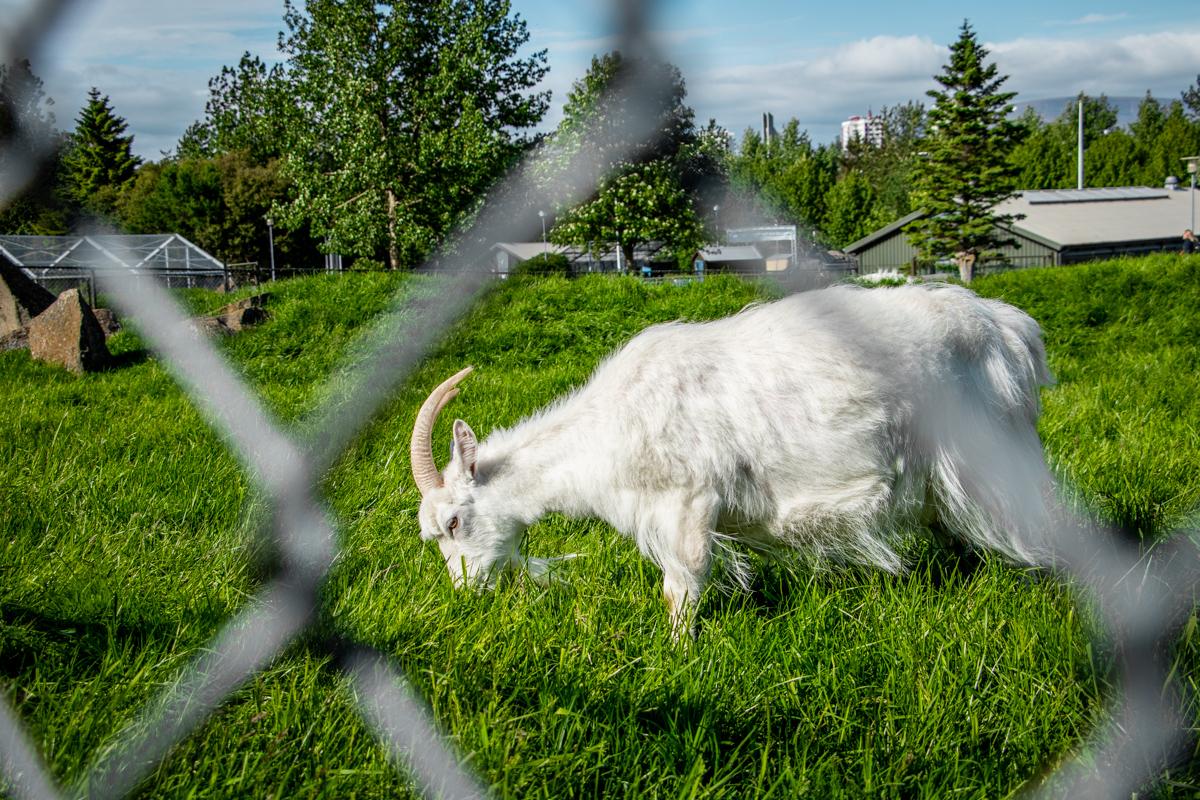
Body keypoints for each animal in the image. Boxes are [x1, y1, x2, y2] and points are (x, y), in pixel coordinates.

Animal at [410, 282, 1056, 636]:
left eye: (454, 521)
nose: (466, 592)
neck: (607, 428)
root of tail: (1008, 327)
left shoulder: (689, 502)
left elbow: (682, 588)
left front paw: (677, 657)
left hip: (991, 452)